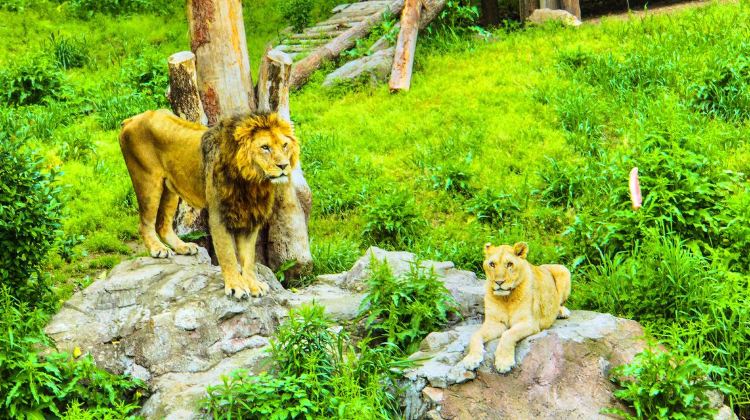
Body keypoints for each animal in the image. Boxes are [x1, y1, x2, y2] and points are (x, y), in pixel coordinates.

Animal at [117, 108, 300, 298]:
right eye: (265, 147)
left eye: (284, 145)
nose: (284, 165)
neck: (253, 182)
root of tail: (132, 119)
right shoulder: (218, 215)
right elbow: (228, 255)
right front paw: (236, 286)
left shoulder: (250, 217)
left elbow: (248, 257)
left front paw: (253, 285)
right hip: (148, 182)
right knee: (145, 223)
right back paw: (157, 249)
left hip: (170, 189)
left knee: (163, 224)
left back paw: (183, 247)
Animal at [462, 244, 572, 372]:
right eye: (492, 264)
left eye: (509, 264)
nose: (499, 282)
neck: (506, 299)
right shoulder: (495, 323)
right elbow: (475, 335)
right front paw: (471, 359)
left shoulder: (529, 323)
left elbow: (508, 334)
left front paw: (504, 362)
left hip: (563, 269)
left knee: (560, 302)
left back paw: (562, 312)